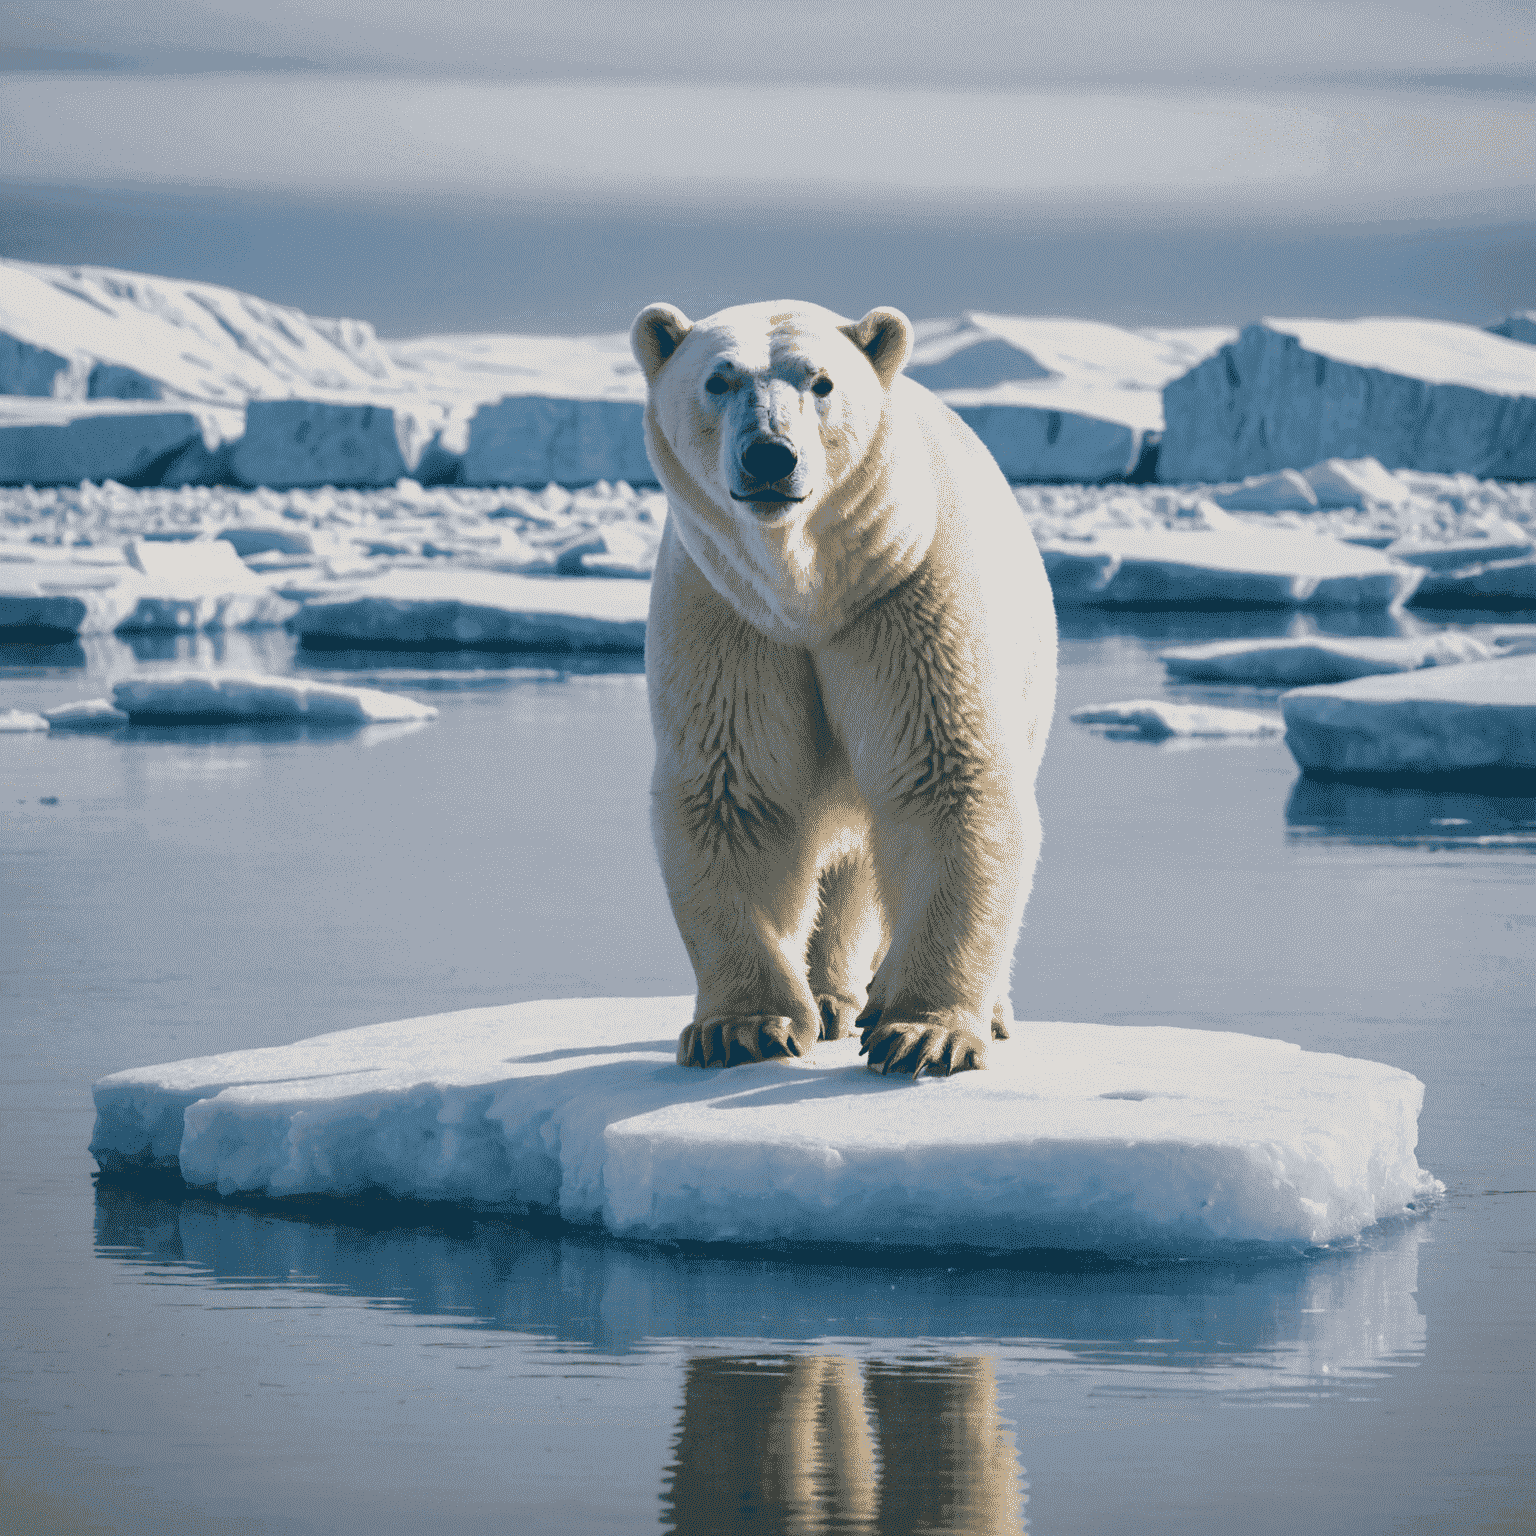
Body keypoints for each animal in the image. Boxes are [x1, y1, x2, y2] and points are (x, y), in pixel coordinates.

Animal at [632, 299, 1056, 1081]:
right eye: (719, 379)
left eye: (821, 381)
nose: (770, 455)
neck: (809, 590)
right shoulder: (729, 619)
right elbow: (737, 791)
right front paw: (744, 1028)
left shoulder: (905, 596)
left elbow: (946, 777)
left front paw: (924, 1033)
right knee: (846, 863)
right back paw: (831, 997)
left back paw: (960, 1006)